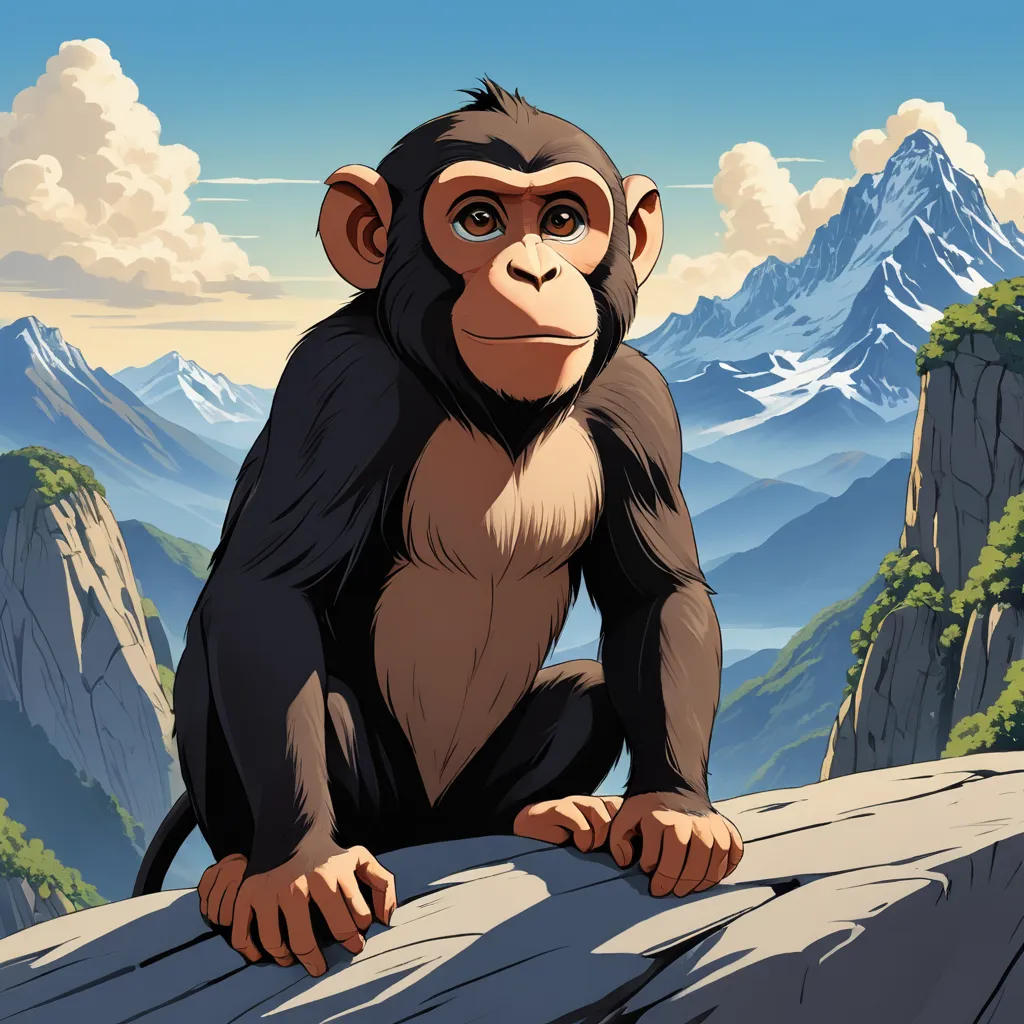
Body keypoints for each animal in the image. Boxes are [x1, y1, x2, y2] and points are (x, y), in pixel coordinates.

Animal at [134, 79, 743, 978]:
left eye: (565, 219)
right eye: (479, 220)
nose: (536, 268)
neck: (489, 409)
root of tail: (428, 831)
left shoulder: (638, 402)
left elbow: (656, 593)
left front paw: (674, 808)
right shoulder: (337, 383)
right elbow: (266, 594)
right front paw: (298, 870)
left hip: (467, 798)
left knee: (590, 690)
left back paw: (544, 813)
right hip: (378, 809)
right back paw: (242, 864)